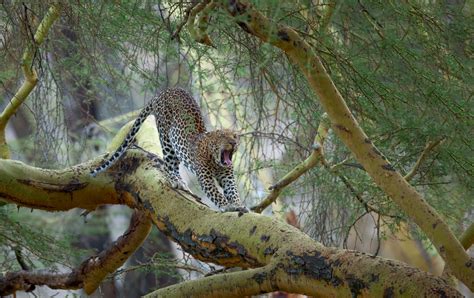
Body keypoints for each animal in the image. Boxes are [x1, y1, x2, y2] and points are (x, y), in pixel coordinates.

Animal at [88, 87, 248, 213]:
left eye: (235, 136)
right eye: (222, 136)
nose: (233, 142)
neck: (216, 161)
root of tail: (165, 91)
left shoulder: (227, 177)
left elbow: (233, 192)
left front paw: (239, 205)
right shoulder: (205, 178)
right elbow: (216, 193)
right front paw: (227, 206)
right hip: (167, 139)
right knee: (168, 165)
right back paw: (176, 181)